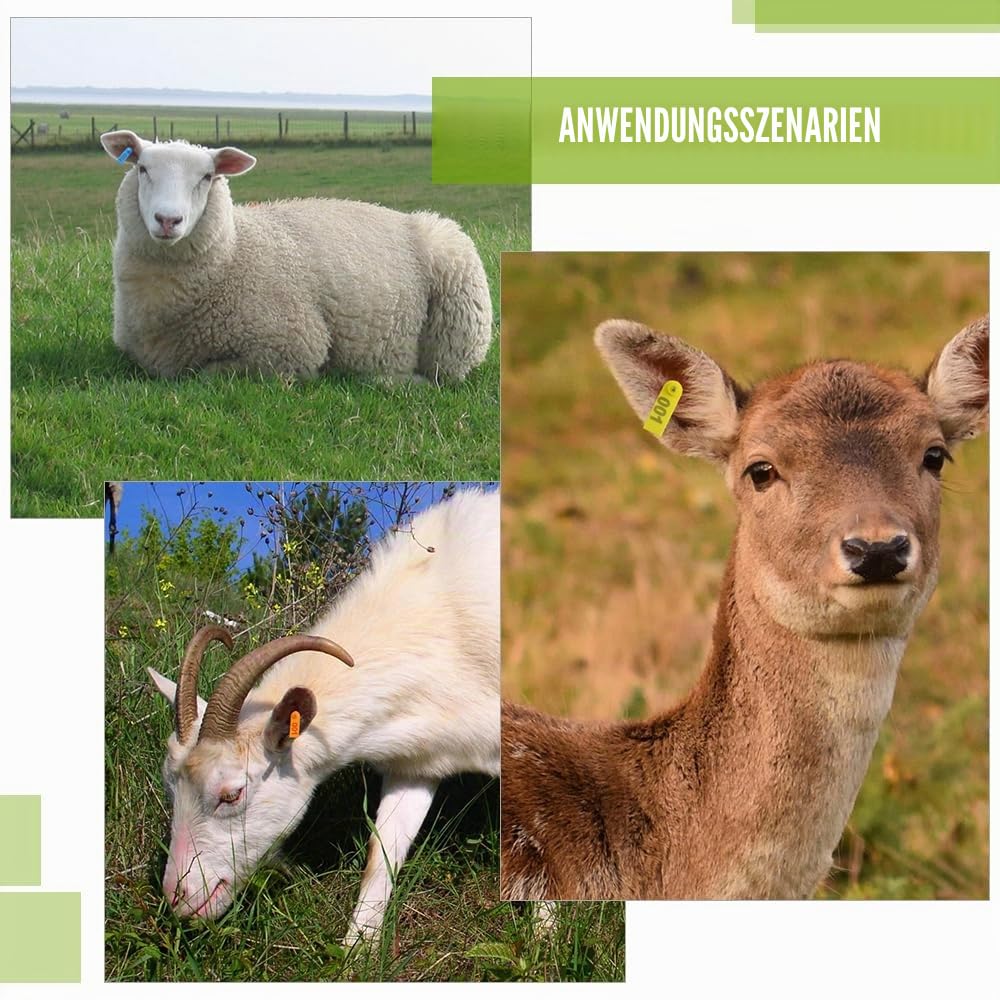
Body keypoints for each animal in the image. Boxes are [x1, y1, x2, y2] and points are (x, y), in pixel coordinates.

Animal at [99, 130, 493, 381]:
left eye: (207, 177)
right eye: (142, 168)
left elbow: (207, 375)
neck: (233, 254)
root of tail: (403, 215)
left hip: (457, 323)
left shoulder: (290, 346)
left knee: (445, 375)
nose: (168, 220)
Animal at [147, 488, 499, 943]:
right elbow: (381, 857)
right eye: (169, 787)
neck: (443, 621)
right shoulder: (417, 761)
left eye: (231, 794)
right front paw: (356, 949)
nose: (179, 896)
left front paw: (544, 934)